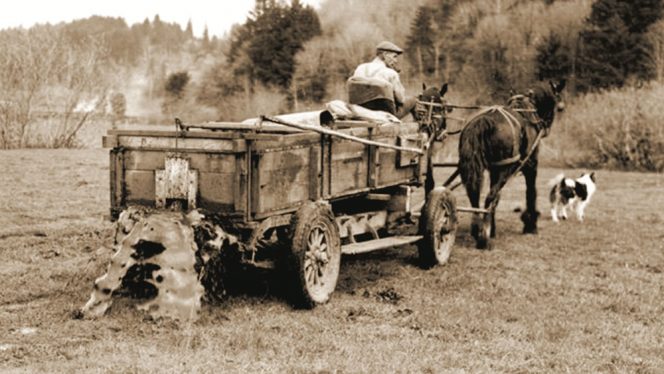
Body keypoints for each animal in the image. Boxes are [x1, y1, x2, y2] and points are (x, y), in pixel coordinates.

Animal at [456, 79, 564, 248]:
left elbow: (497, 199)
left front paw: (493, 229)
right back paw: (483, 234)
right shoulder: (531, 165)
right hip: (505, 169)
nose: (547, 124)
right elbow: (531, 193)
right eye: (556, 97)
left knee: (476, 197)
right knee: (489, 197)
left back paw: (477, 229)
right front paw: (531, 225)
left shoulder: (494, 169)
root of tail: (483, 120)